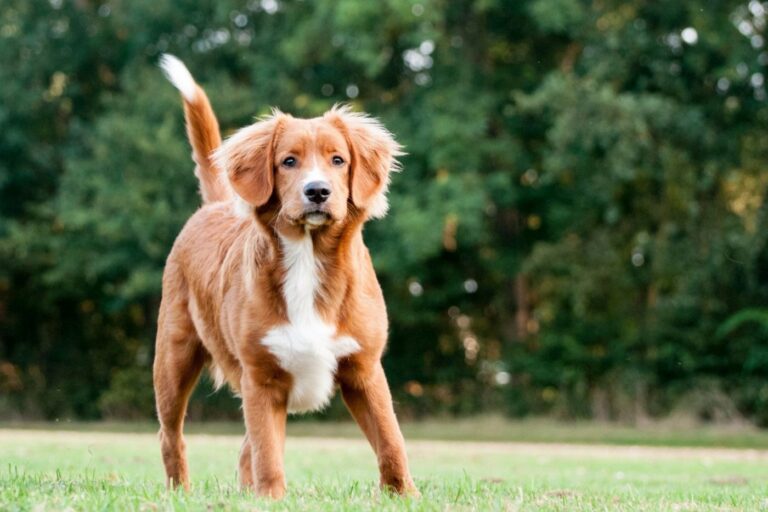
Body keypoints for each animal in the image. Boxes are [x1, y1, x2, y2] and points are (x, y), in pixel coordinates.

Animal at [154, 54, 416, 498]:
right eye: (288, 161)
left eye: (338, 160)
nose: (317, 191)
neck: (307, 260)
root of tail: (215, 206)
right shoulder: (261, 377)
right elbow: (267, 452)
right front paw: (271, 498)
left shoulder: (364, 369)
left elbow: (391, 441)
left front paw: (405, 495)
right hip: (174, 358)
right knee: (172, 436)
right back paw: (180, 492)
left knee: (243, 448)